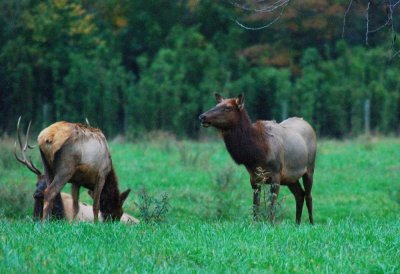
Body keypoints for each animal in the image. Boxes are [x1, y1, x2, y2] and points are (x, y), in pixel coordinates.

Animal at [198, 93, 318, 224]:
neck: (257, 153)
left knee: (308, 195)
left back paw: (311, 223)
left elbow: (271, 207)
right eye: (216, 105)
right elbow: (256, 207)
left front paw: (271, 224)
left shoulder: (276, 175)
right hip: (290, 178)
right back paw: (297, 224)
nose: (202, 116)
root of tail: (308, 124)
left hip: (309, 168)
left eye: (228, 108)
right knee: (300, 195)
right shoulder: (254, 178)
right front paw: (255, 224)